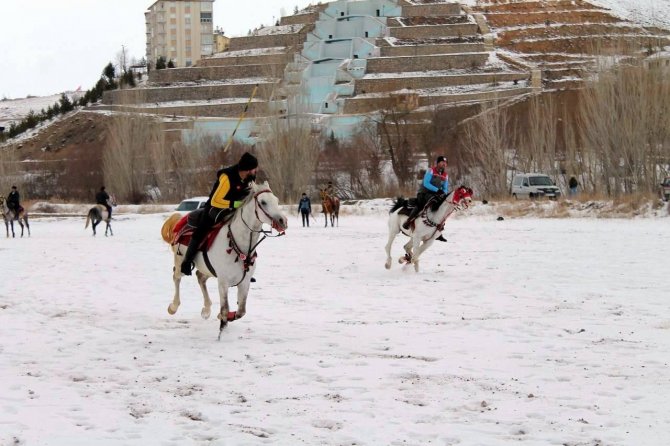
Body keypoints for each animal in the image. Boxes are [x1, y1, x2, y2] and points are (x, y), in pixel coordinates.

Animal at [164, 181, 290, 338]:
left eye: (277, 200)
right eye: (263, 202)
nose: (283, 221)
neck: (239, 244)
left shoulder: (244, 282)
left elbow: (241, 311)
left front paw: (224, 317)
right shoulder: (223, 282)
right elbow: (225, 308)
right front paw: (222, 329)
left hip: (208, 269)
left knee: (200, 278)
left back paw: (206, 310)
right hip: (180, 260)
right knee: (176, 277)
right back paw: (173, 307)